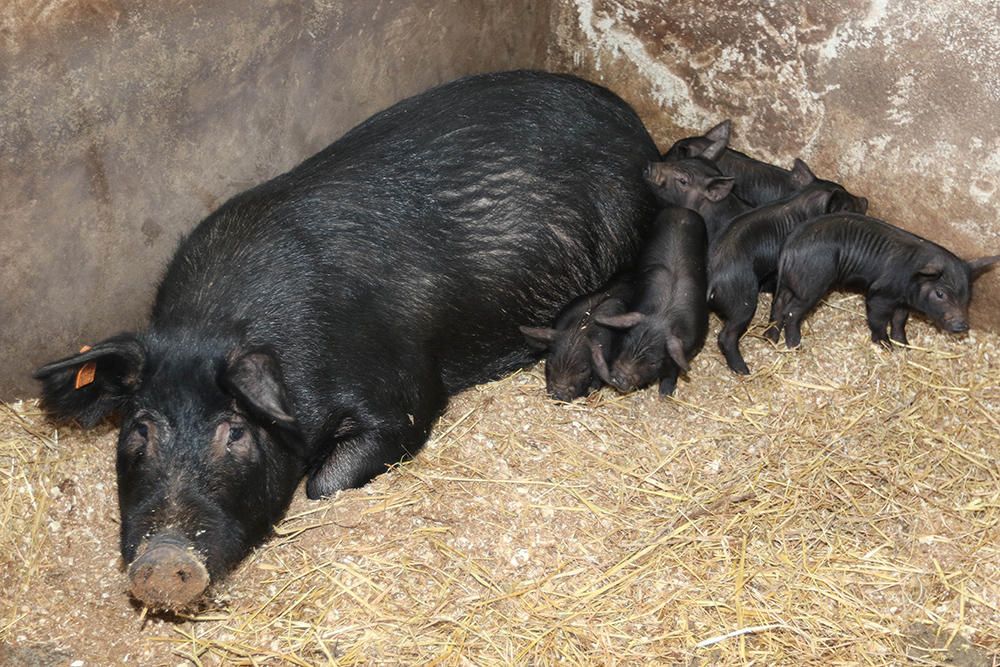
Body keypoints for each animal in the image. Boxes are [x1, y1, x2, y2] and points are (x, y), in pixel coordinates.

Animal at [33, 69, 664, 612]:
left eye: (234, 431)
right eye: (139, 429)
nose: (163, 560)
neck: (213, 324)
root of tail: (636, 127)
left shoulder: (402, 397)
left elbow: (328, 480)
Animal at [592, 209, 712, 394]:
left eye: (653, 362)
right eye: (625, 342)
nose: (619, 379)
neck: (662, 316)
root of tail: (681, 210)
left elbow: (674, 369)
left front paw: (665, 394)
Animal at [712, 159, 868, 374]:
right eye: (847, 206)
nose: (866, 200)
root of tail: (712, 280)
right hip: (742, 299)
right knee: (727, 334)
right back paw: (744, 370)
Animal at [764, 214, 1000, 350]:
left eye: (967, 295)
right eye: (940, 293)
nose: (961, 325)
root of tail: (790, 246)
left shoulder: (902, 302)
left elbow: (899, 320)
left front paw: (904, 345)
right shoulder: (880, 295)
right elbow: (878, 319)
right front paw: (886, 346)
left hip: (789, 283)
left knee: (778, 305)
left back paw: (770, 338)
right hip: (811, 283)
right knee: (792, 311)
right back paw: (795, 346)